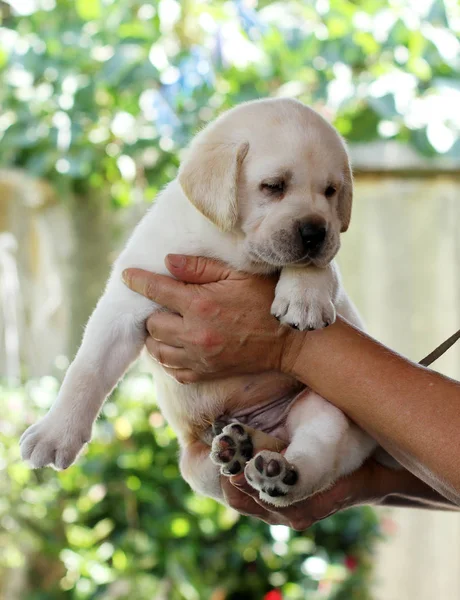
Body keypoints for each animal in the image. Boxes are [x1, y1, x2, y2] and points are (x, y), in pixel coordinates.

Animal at [20, 99, 378, 506]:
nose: (316, 232)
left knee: (316, 454)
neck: (230, 248)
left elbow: (321, 267)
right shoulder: (128, 300)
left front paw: (304, 295)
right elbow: (86, 370)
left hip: (328, 408)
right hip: (195, 468)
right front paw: (55, 433)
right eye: (274, 186)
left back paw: (279, 471)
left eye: (331, 191)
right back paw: (241, 447)